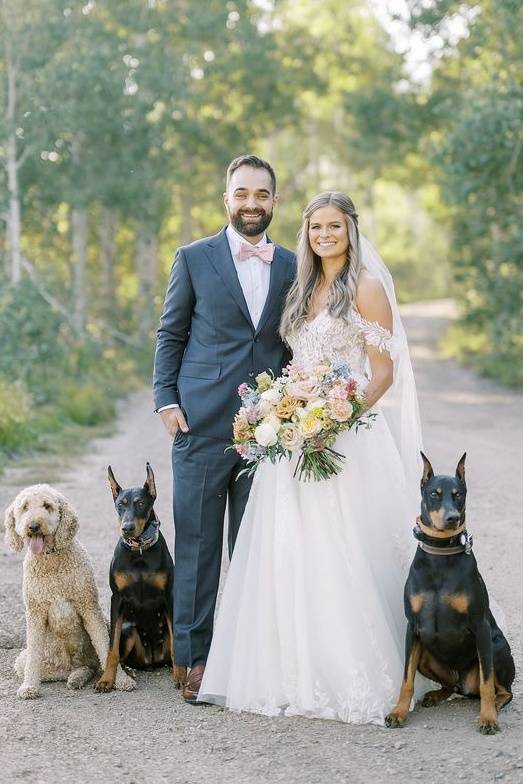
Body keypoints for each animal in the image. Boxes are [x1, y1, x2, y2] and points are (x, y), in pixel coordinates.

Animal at [4, 484, 135, 700]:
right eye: (24, 507)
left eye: (47, 505)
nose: (33, 526)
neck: (51, 558)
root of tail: (71, 665)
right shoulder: (35, 613)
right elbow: (33, 659)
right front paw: (29, 687)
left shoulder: (89, 607)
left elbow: (105, 646)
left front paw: (122, 680)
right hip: (26, 660)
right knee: (54, 669)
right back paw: (75, 677)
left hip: (104, 625)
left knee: (95, 665)